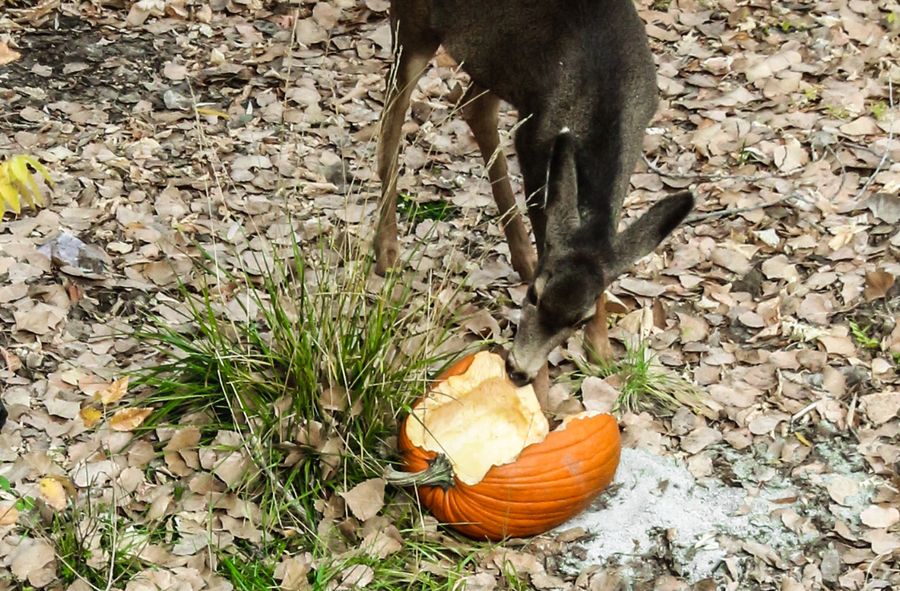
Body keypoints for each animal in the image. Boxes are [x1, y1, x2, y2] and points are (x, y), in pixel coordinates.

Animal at [370, 1, 692, 398]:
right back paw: (387, 251)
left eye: (579, 318)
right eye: (535, 297)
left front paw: (600, 352)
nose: (518, 371)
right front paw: (542, 392)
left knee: (472, 105)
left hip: (495, 62)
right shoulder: (537, 142)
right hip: (415, 26)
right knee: (392, 115)